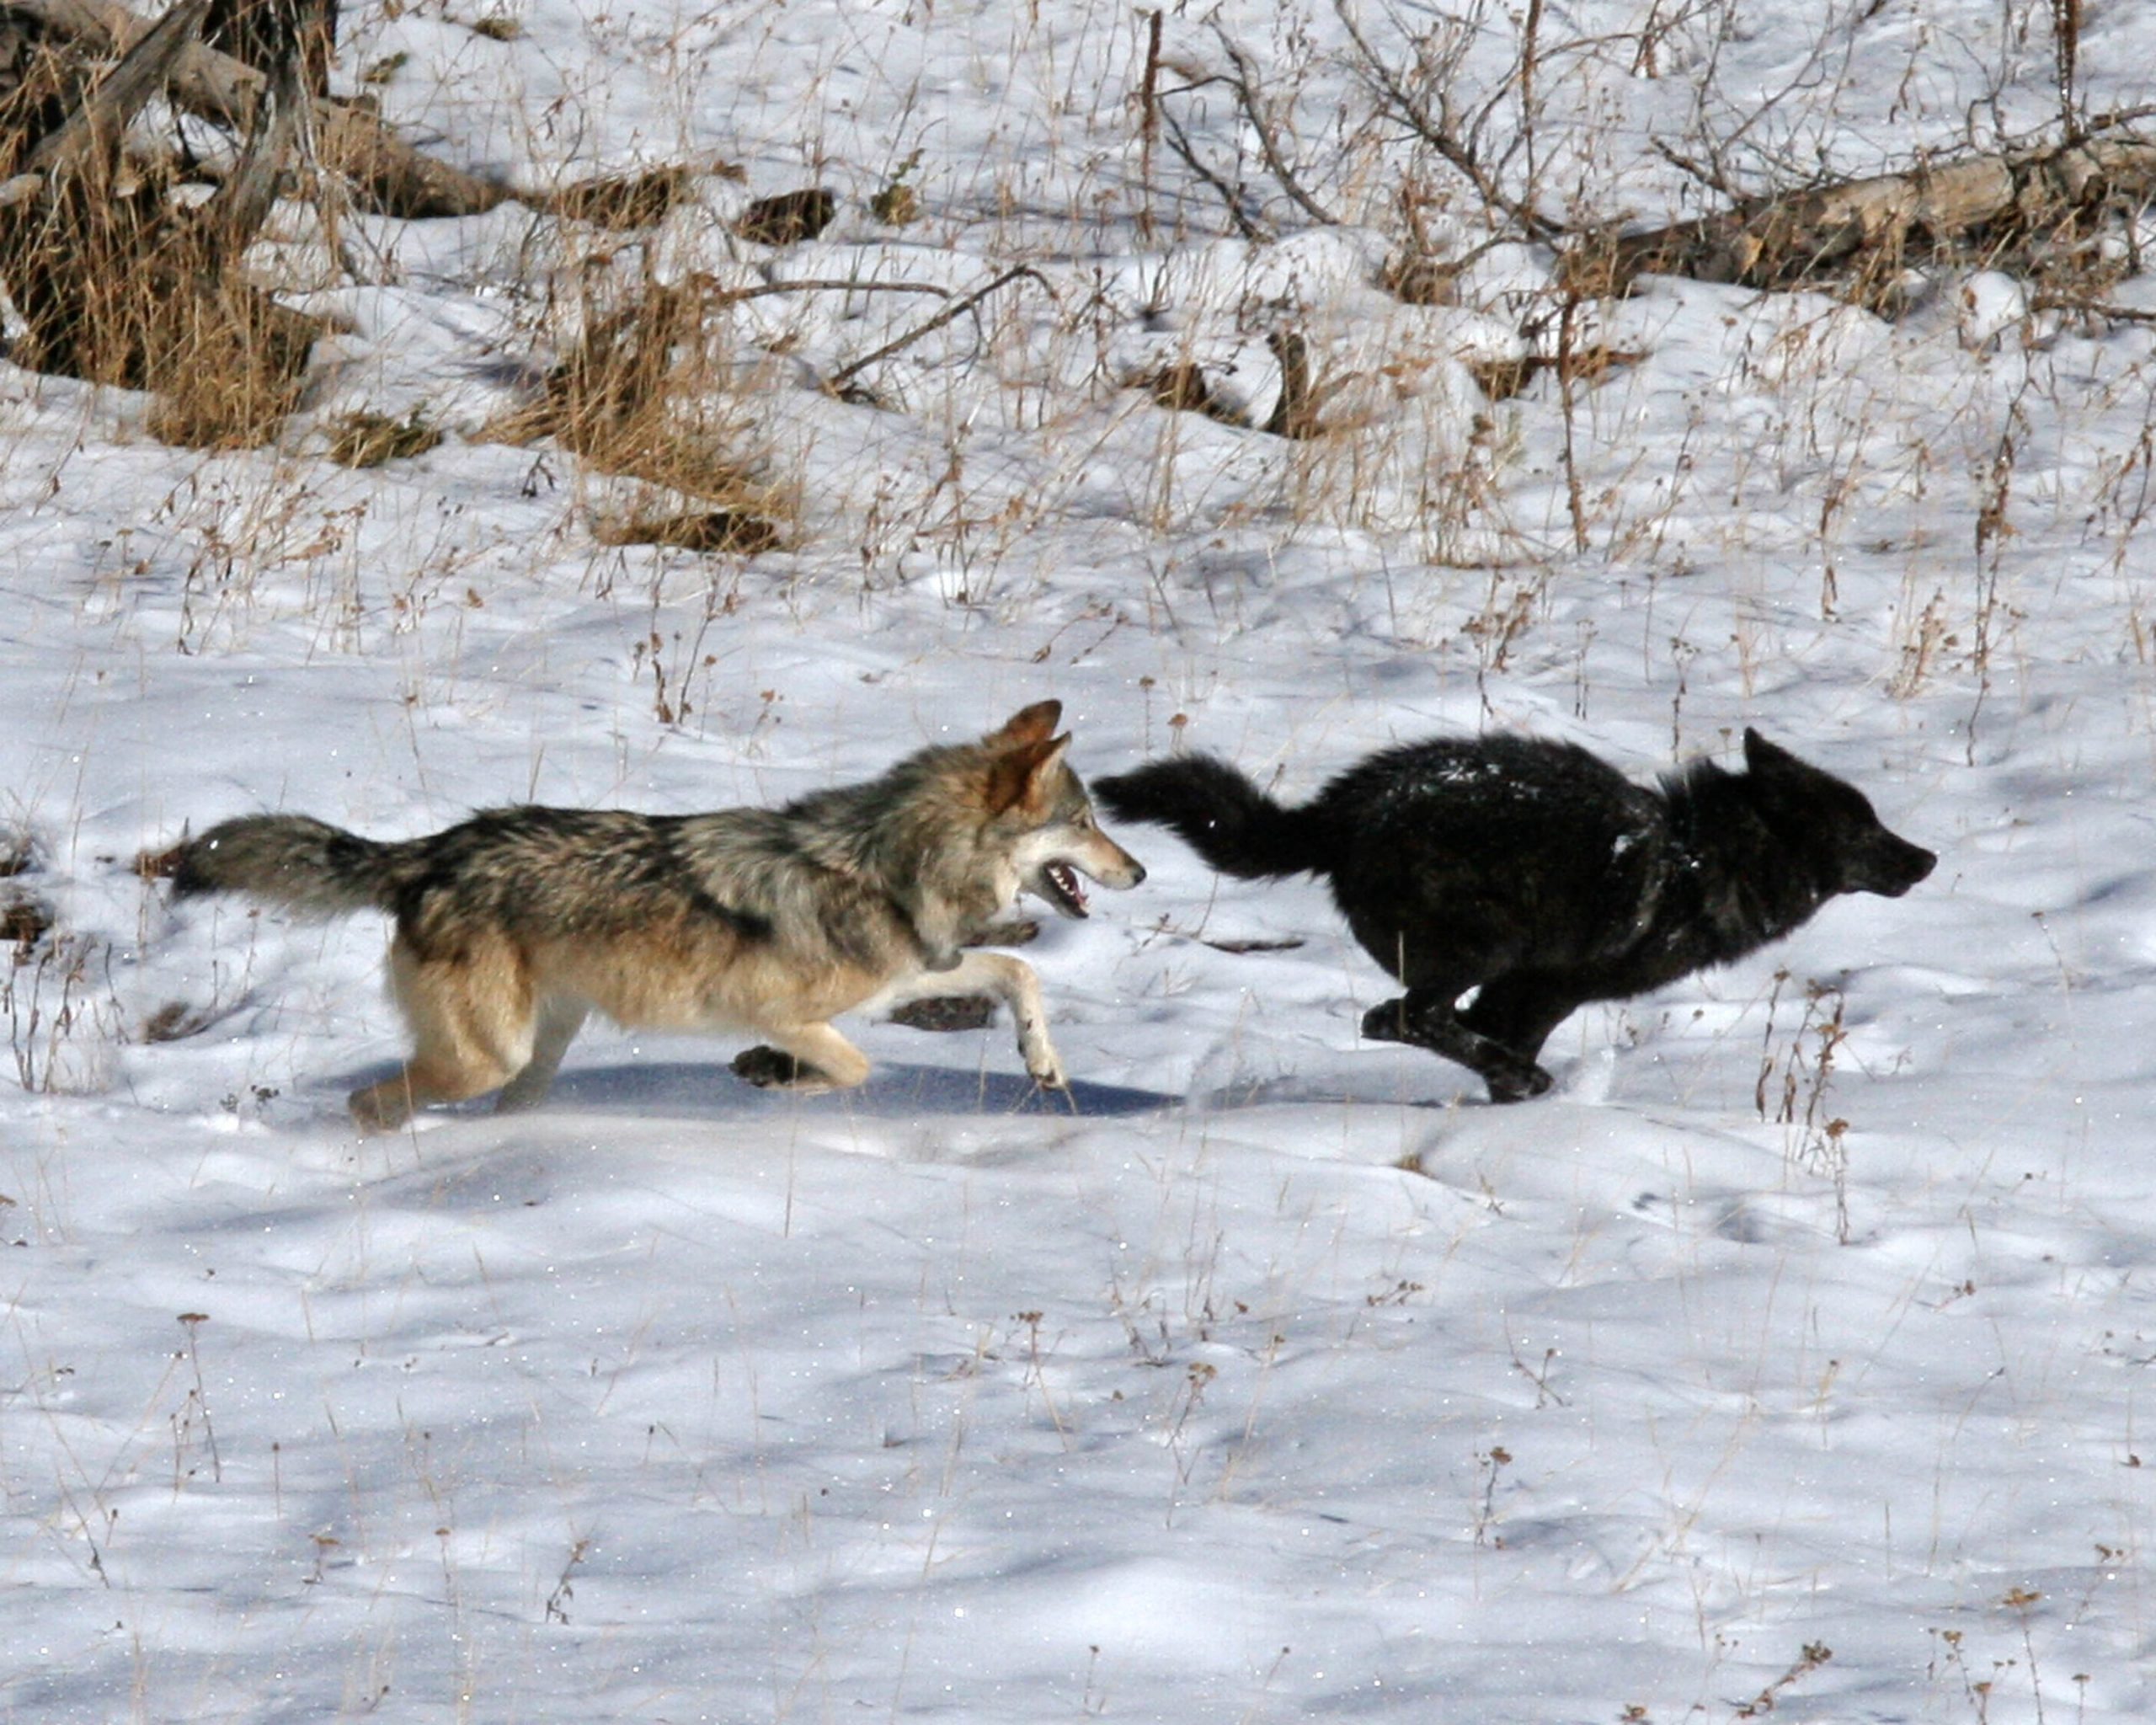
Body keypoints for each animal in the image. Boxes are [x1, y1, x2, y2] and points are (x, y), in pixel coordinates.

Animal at [172, 698, 1146, 1130]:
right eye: (1085, 821)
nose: (1138, 868)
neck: (889, 867)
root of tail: (433, 849)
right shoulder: (781, 1008)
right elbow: (856, 1068)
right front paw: (769, 1077)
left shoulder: (908, 975)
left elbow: (1018, 969)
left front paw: (1043, 1061)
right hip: (486, 1058)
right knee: (367, 1102)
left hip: (530, 1059)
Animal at [1095, 729, 1940, 1103]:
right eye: (1866, 829)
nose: (1929, 858)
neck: (1702, 858)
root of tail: (1343, 811)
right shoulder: (1546, 989)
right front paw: (1516, 1092)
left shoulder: (1516, 996)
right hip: (1485, 949)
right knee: (1396, 1017)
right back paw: (1521, 1074)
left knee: (1403, 1019)